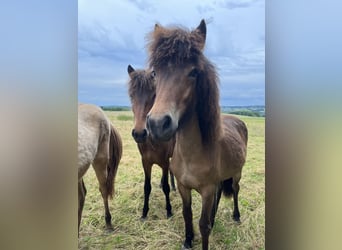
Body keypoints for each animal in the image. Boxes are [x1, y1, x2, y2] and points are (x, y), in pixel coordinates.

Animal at [127, 65, 176, 219]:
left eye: (154, 95)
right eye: (131, 95)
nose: (139, 133)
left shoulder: (164, 161)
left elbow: (166, 186)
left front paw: (169, 211)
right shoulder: (146, 162)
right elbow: (147, 187)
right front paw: (144, 213)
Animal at [146, 20, 247, 250]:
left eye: (193, 72)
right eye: (155, 73)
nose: (157, 124)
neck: (191, 155)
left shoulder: (207, 190)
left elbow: (203, 225)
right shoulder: (184, 187)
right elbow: (187, 214)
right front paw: (187, 240)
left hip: (236, 173)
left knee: (235, 190)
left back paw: (236, 216)